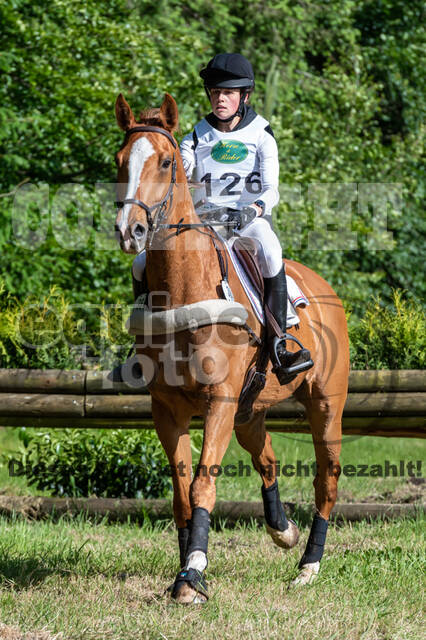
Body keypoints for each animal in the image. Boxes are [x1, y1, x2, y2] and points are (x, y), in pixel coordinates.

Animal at [114, 92, 349, 604]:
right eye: (119, 160)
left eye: (166, 162)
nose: (130, 231)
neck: (184, 289)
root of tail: (323, 287)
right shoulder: (168, 408)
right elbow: (181, 494)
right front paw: (186, 566)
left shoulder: (218, 401)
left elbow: (203, 485)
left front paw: (193, 575)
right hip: (249, 411)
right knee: (267, 459)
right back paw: (283, 530)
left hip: (325, 403)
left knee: (327, 478)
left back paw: (308, 565)